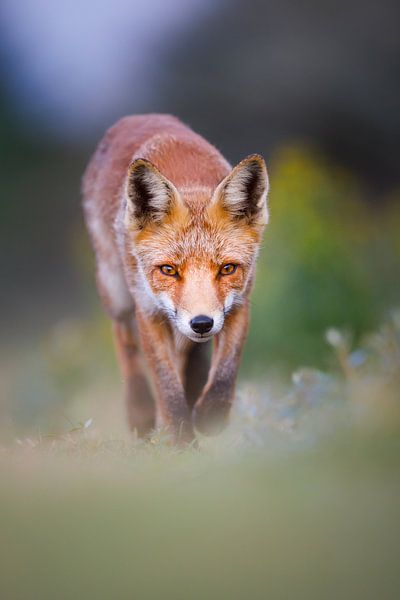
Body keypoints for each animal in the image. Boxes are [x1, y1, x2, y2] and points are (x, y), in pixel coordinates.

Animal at [81, 116, 268, 446]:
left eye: (227, 269)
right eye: (168, 270)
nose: (202, 323)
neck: (189, 180)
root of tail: (136, 117)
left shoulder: (239, 303)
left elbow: (225, 371)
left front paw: (209, 418)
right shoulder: (148, 311)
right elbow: (167, 387)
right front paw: (181, 442)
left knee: (187, 356)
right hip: (116, 291)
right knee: (124, 340)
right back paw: (140, 413)